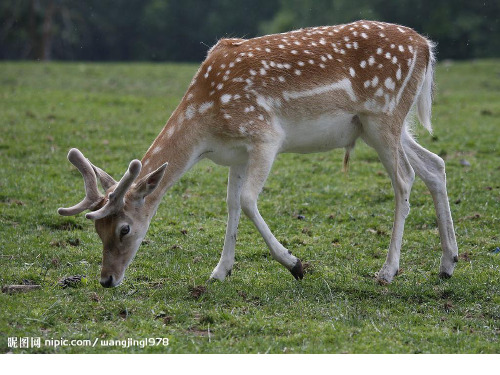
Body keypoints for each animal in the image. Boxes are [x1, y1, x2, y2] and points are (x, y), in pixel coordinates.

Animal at [57, 20, 458, 290]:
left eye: (124, 228)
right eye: (97, 229)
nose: (107, 280)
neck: (206, 127)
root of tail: (426, 47)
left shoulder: (266, 136)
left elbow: (249, 201)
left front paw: (296, 264)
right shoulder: (237, 154)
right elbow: (232, 204)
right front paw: (220, 271)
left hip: (383, 115)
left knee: (405, 179)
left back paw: (388, 271)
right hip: (382, 125)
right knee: (435, 165)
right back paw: (448, 263)